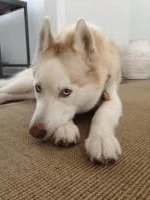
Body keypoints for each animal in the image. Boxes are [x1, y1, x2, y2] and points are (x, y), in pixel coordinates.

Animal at [0, 17, 122, 164]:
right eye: (39, 88)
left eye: (66, 92)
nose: (35, 131)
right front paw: (65, 128)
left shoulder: (111, 94)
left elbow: (102, 114)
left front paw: (101, 139)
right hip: (25, 84)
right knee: (4, 90)